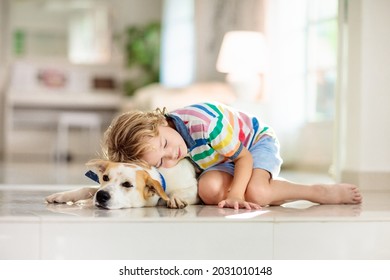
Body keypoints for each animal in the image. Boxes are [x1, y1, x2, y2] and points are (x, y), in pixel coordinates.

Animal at [45, 159, 201, 209]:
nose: (101, 195)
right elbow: (86, 188)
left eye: (127, 185)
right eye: (105, 177)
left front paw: (174, 198)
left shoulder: (194, 189)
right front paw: (62, 195)